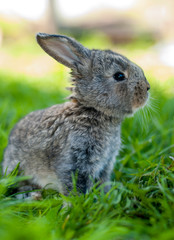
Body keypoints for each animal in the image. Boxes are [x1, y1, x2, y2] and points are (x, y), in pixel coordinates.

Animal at [2, 32, 150, 197]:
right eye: (119, 76)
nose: (148, 88)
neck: (92, 110)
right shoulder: (73, 161)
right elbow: (75, 185)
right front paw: (78, 202)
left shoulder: (105, 164)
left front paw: (105, 195)